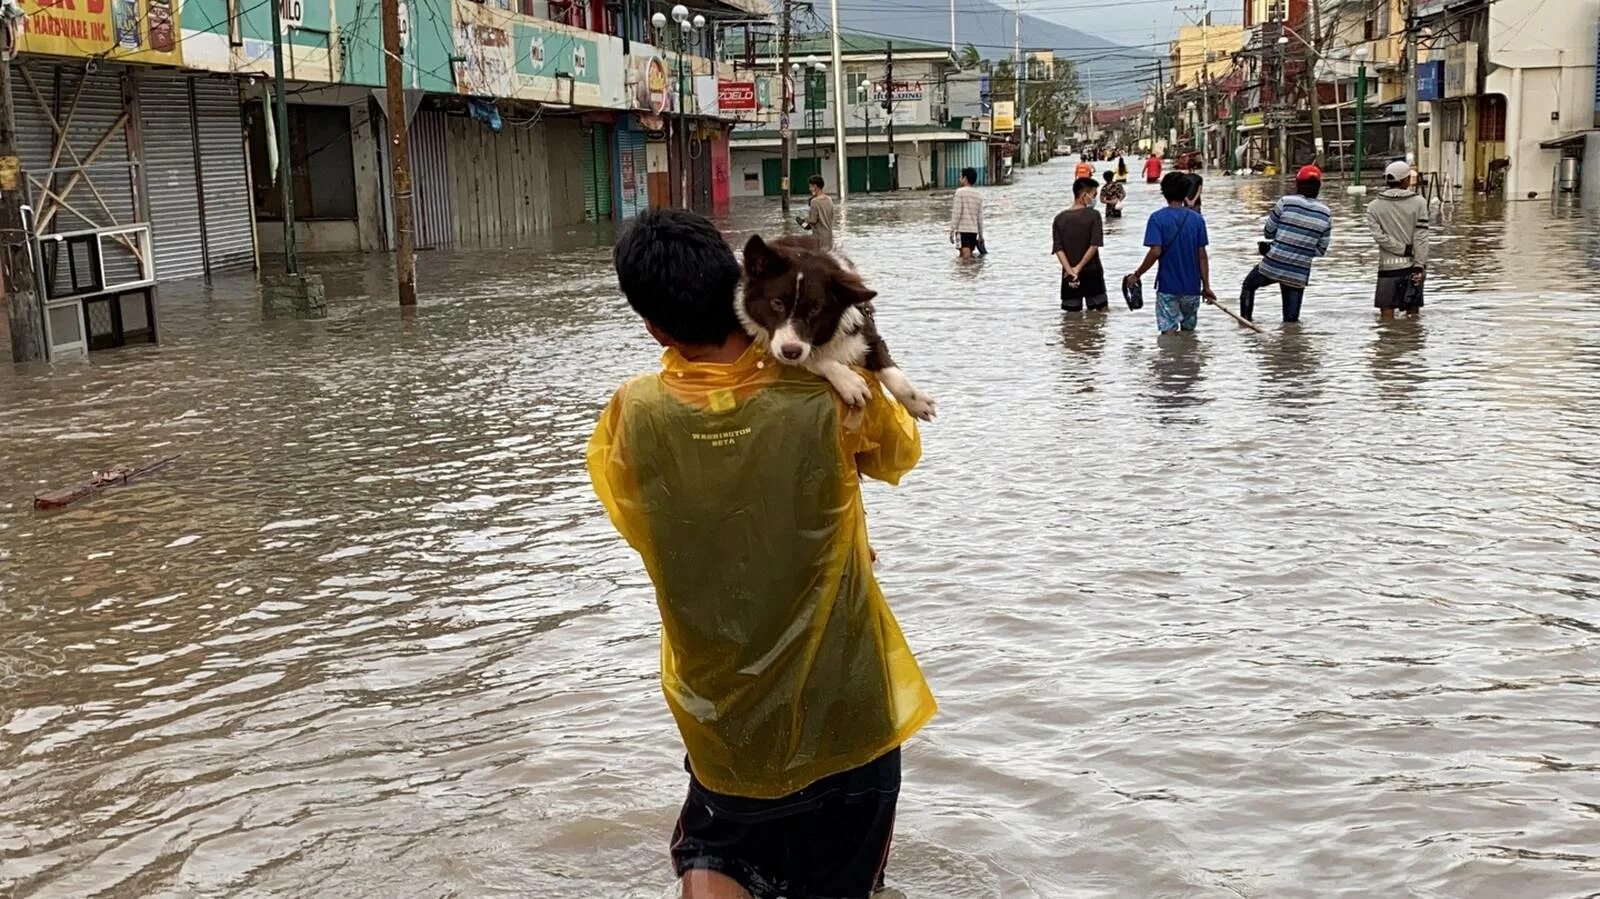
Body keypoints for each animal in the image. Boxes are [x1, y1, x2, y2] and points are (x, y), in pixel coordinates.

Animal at [736, 236, 934, 422]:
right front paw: (849, 382)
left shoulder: (867, 331)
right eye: (776, 303)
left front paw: (916, 402)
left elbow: (891, 371)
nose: (790, 352)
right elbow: (813, 359)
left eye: (815, 309)